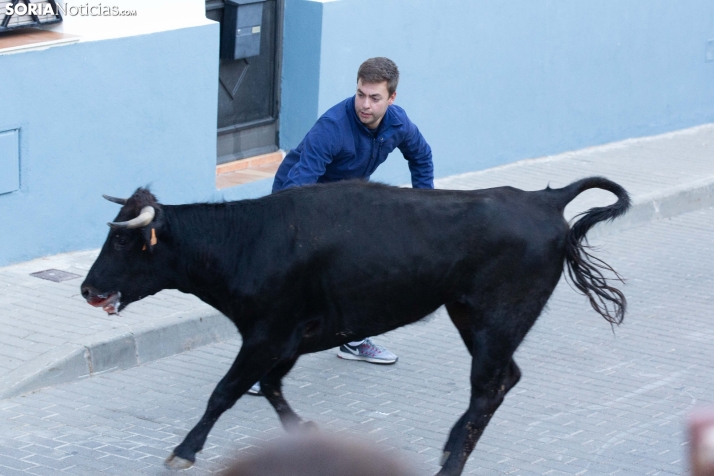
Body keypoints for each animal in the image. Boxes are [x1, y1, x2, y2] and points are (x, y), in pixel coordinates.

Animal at [80, 178, 628, 472]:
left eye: (124, 241)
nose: (87, 290)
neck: (248, 240)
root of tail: (543, 198)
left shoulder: (267, 334)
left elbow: (225, 391)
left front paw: (185, 451)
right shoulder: (289, 339)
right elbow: (269, 387)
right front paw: (303, 431)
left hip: (498, 321)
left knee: (488, 389)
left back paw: (452, 462)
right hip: (471, 318)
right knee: (503, 381)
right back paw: (450, 446)